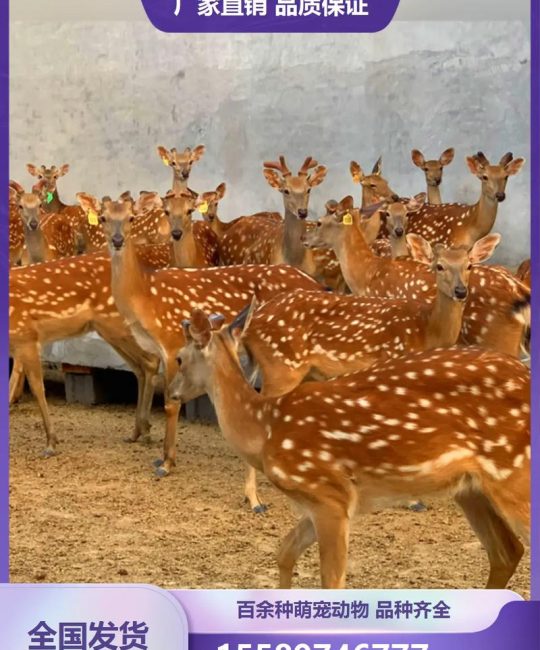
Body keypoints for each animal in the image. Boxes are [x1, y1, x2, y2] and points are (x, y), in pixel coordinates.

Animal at [76, 191, 325, 488]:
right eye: (103, 217)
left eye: (131, 217)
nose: (116, 240)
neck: (145, 297)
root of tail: (317, 284)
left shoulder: (172, 340)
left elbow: (171, 402)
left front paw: (166, 462)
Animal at [171, 308, 530, 589]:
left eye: (179, 358)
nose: (172, 393)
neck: (264, 429)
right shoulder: (321, 502)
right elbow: (284, 551)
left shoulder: (329, 493)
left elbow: (332, 580)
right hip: (470, 488)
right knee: (507, 552)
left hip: (514, 474)